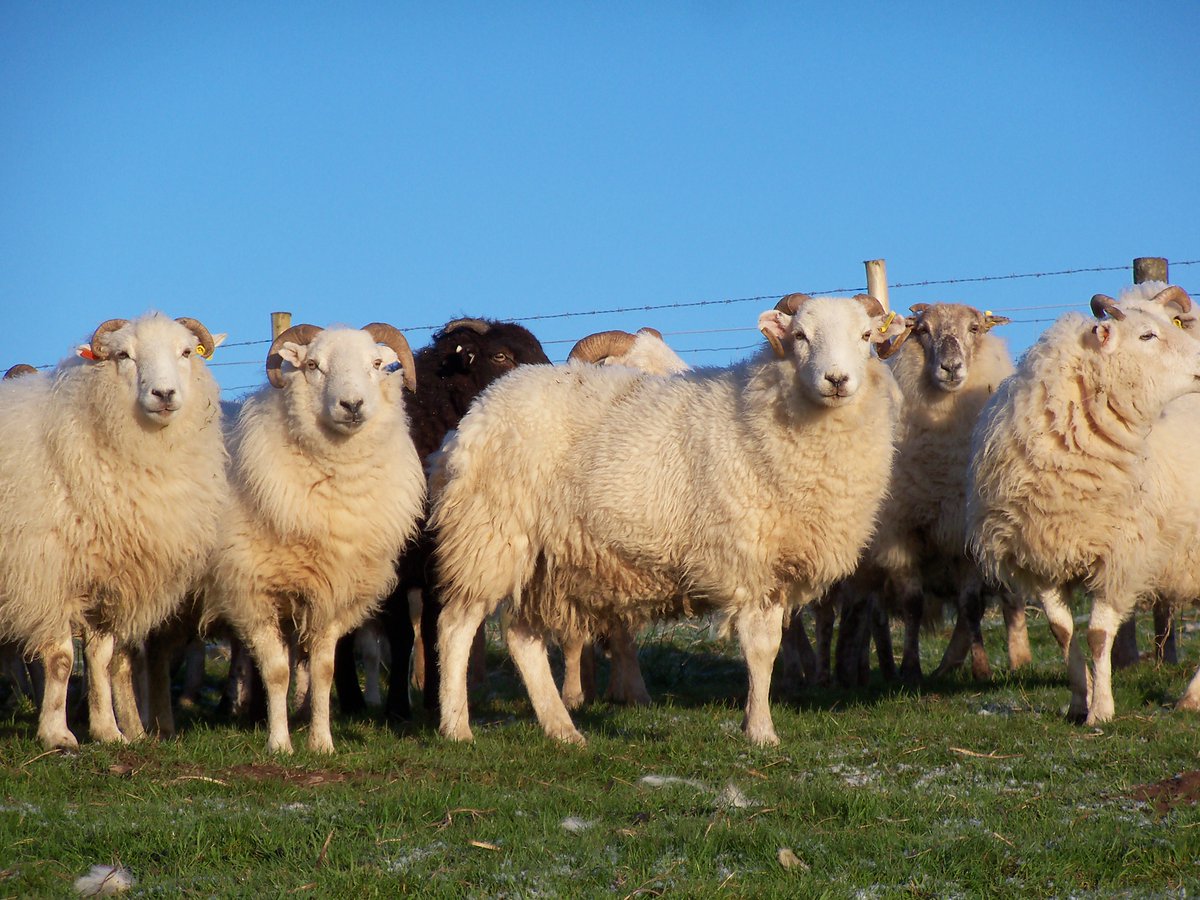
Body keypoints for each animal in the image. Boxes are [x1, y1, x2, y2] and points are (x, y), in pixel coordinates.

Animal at [0, 313, 226, 749]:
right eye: (124, 355)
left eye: (186, 352)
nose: (164, 393)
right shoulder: (47, 574)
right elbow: (61, 658)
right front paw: (57, 734)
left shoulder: (109, 579)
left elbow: (101, 659)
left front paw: (109, 731)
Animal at [203, 322, 425, 753]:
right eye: (312, 365)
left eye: (377, 363)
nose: (352, 404)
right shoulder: (251, 592)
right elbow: (276, 672)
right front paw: (279, 743)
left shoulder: (331, 594)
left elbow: (323, 670)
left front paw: (322, 742)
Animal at [333, 316, 551, 722]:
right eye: (500, 356)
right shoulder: (399, 562)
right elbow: (403, 634)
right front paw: (399, 710)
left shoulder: (439, 559)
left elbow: (435, 629)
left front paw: (436, 703)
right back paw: (351, 702)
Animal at [429, 293, 906, 746]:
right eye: (801, 336)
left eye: (866, 336)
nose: (837, 380)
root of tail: (479, 411)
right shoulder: (748, 564)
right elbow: (759, 650)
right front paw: (760, 731)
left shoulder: (777, 569)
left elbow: (771, 647)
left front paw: (757, 724)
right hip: (490, 533)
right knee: (456, 626)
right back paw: (457, 728)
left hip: (542, 559)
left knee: (522, 638)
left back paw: (562, 729)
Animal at [966, 288, 1200, 724]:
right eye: (1146, 335)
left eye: (1174, 324)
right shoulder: (1039, 558)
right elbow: (1062, 633)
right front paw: (1079, 700)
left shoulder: (1119, 554)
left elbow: (1097, 635)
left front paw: (1102, 710)